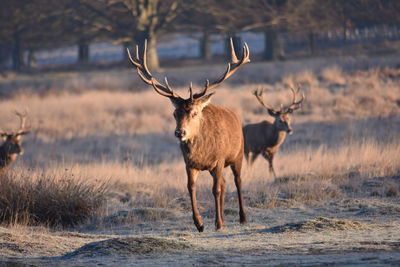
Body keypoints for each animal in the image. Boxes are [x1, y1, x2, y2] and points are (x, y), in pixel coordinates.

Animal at [128, 38, 250, 232]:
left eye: (194, 112)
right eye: (174, 113)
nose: (180, 132)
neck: (202, 153)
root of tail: (235, 115)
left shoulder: (219, 159)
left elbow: (215, 190)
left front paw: (217, 223)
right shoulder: (189, 164)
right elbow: (191, 188)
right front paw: (200, 223)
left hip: (237, 154)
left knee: (237, 181)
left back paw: (242, 217)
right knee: (224, 183)